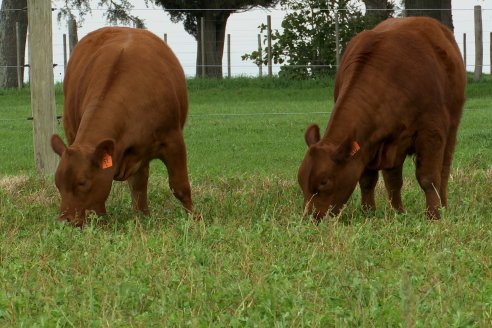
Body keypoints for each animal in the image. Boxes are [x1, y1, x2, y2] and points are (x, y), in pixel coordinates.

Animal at [51, 26, 193, 227]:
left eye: (83, 182)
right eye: (57, 183)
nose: (65, 220)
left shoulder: (174, 141)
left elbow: (180, 187)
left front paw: (195, 220)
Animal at [300, 18, 466, 222]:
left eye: (324, 182)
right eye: (301, 182)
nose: (310, 218)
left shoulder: (431, 131)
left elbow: (429, 178)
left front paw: (433, 215)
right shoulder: (369, 143)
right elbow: (367, 180)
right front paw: (369, 212)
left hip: (451, 128)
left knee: (443, 171)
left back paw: (442, 205)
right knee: (393, 179)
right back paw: (398, 211)